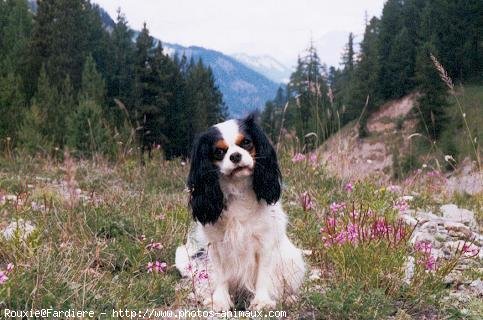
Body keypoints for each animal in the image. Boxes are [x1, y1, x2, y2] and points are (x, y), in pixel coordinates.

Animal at [177, 112, 306, 310]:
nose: (236, 156)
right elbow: (220, 275)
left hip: (292, 260)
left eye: (246, 142)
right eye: (219, 152)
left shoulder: (265, 243)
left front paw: (262, 301)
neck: (237, 190)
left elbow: (263, 274)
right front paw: (220, 300)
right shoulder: (215, 246)